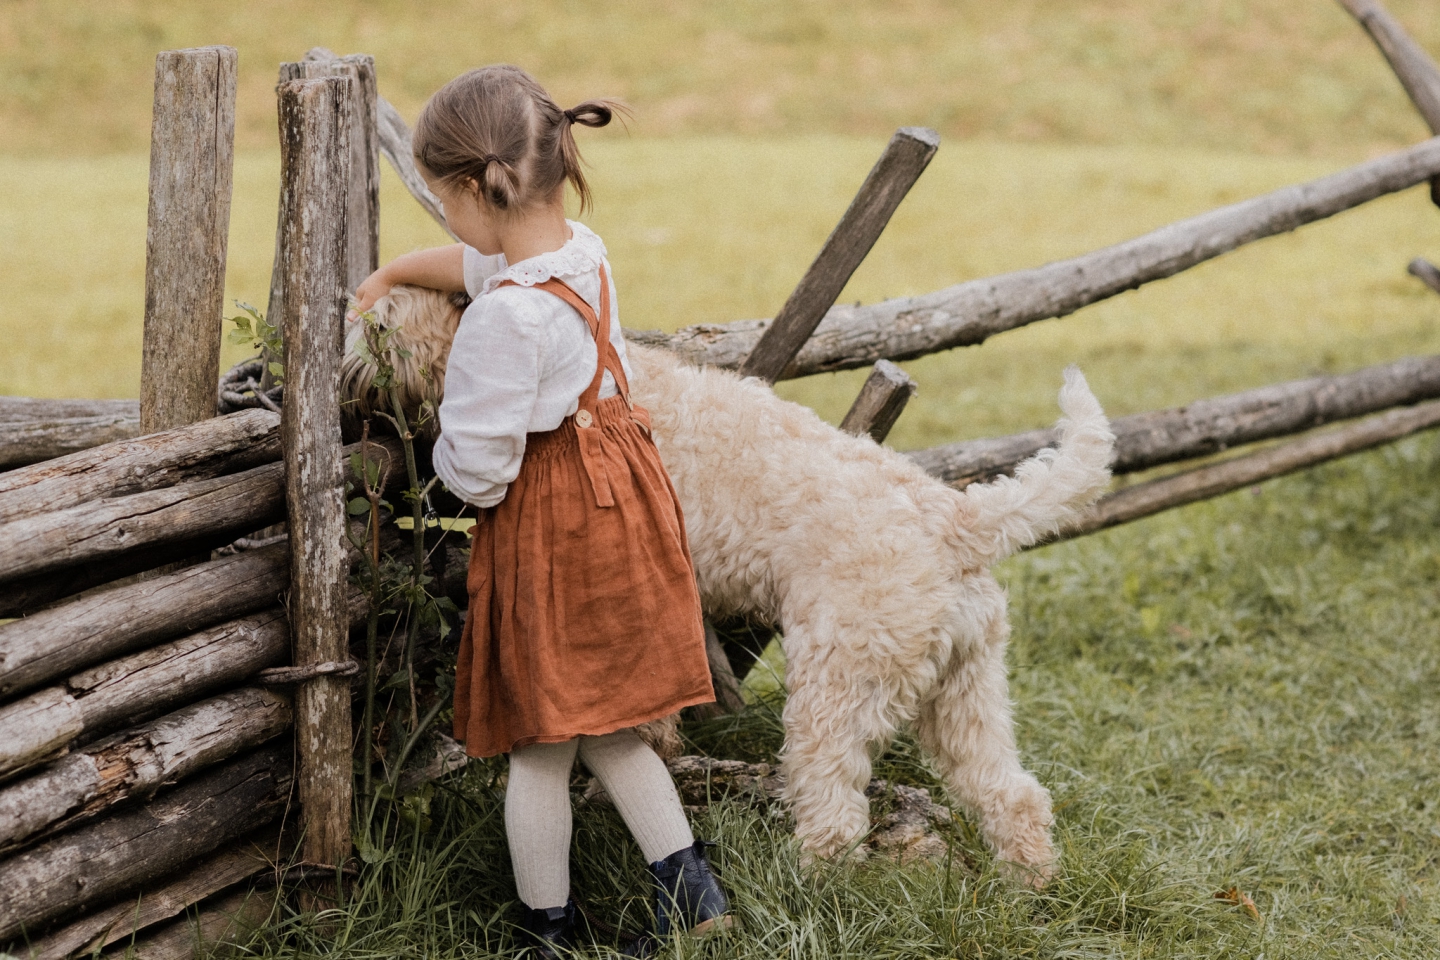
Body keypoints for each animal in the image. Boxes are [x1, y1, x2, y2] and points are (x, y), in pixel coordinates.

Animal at [339, 284, 1111, 880]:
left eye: (379, 319)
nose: (348, 378)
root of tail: (959, 516)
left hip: (837, 691)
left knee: (835, 808)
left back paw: (807, 881)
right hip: (965, 693)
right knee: (1013, 794)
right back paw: (1026, 885)